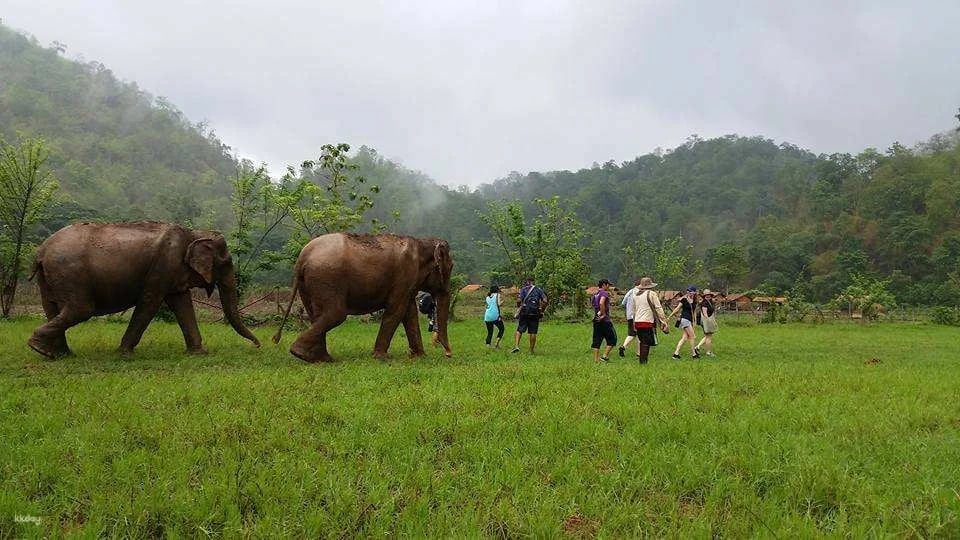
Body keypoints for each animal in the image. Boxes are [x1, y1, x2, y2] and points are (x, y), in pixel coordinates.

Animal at [27, 221, 261, 358]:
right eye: (226, 263)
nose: (258, 344)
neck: (193, 233)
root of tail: (41, 251)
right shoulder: (164, 265)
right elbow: (149, 302)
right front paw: (124, 353)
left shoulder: (173, 271)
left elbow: (182, 304)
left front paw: (199, 353)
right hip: (69, 272)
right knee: (81, 309)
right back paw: (39, 347)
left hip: (49, 278)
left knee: (52, 308)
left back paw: (56, 354)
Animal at [274, 232, 453, 362]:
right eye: (451, 267)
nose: (448, 354)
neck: (421, 242)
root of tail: (302, 256)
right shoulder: (404, 275)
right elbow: (396, 311)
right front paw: (381, 358)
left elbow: (409, 313)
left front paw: (420, 357)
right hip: (326, 278)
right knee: (336, 315)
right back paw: (300, 353)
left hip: (309, 284)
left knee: (316, 315)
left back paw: (321, 359)